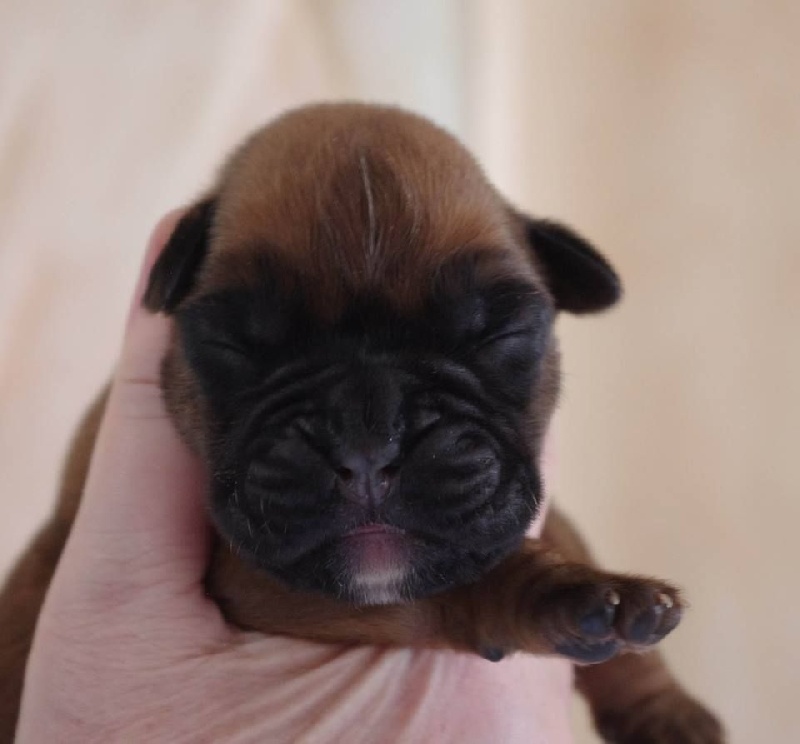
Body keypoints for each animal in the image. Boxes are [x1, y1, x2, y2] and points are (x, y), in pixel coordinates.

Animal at [0, 103, 723, 742]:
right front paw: (564, 595)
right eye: (234, 342)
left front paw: (660, 703)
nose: (369, 434)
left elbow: (564, 543)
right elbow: (451, 586)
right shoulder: (263, 583)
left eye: (500, 331)